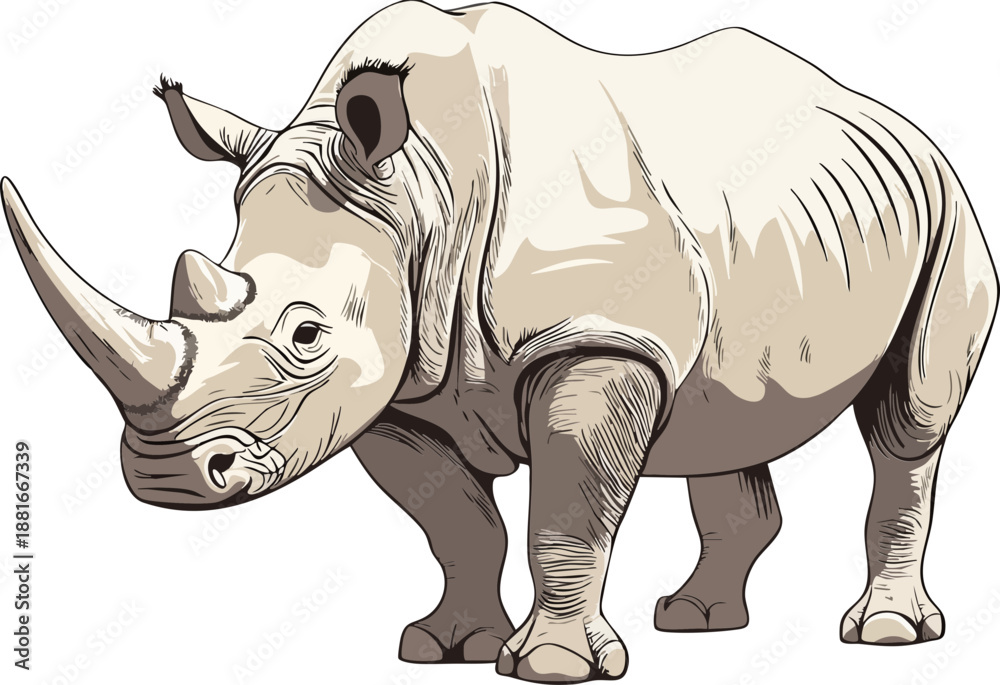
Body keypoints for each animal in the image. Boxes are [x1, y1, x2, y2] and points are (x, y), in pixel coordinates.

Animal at [5, 1, 997, 681]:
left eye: (306, 332)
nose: (165, 476)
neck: (418, 195)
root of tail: (900, 121)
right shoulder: (398, 381)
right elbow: (456, 521)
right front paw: (447, 645)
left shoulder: (595, 338)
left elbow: (565, 510)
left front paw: (550, 667)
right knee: (723, 413)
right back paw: (696, 618)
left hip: (951, 207)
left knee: (910, 422)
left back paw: (884, 633)